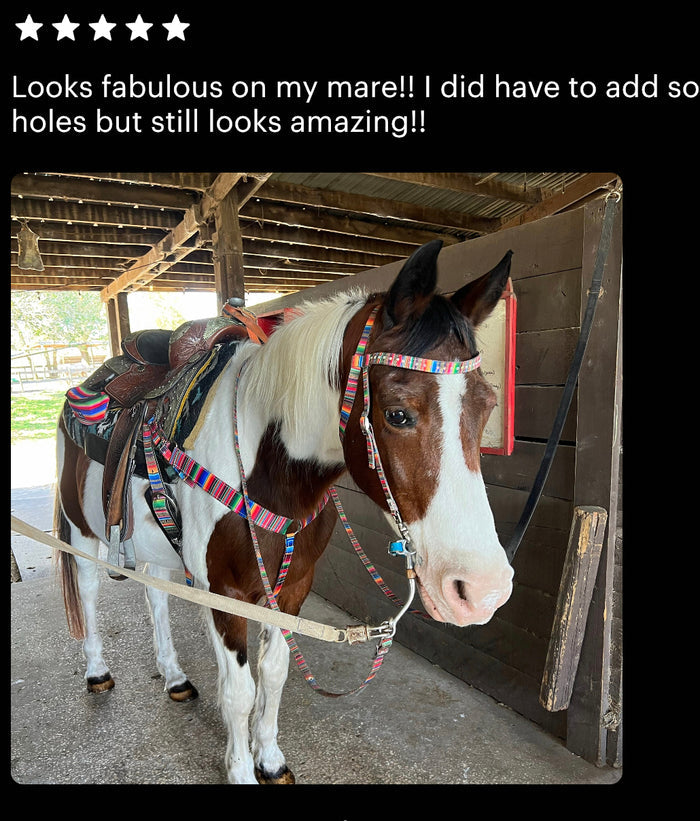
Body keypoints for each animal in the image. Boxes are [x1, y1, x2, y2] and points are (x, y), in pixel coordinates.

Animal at [54, 239, 515, 784]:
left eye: (488, 407)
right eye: (398, 413)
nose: (482, 592)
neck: (271, 475)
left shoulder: (292, 588)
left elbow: (273, 676)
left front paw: (269, 758)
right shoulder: (225, 593)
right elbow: (239, 692)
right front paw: (240, 771)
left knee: (156, 595)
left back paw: (174, 676)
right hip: (82, 531)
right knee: (87, 590)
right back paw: (96, 671)